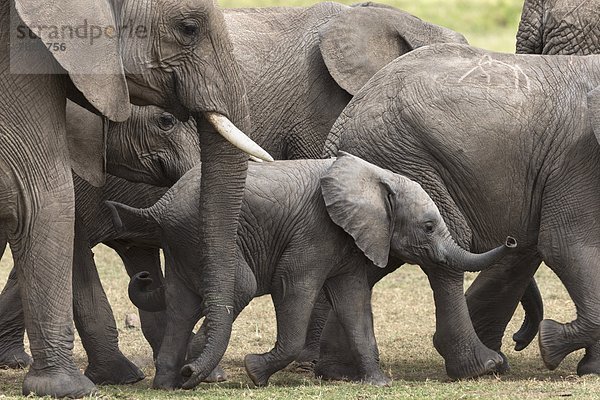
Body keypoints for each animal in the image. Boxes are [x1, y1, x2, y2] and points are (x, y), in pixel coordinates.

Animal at [106, 152, 516, 388]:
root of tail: (161, 205)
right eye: (429, 227)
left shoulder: (348, 241)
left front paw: (378, 384)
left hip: (182, 243)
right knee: (238, 287)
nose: (511, 240)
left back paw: (170, 382)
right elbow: (294, 288)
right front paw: (255, 372)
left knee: (181, 304)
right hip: (199, 236)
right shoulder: (314, 231)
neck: (377, 177)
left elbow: (354, 301)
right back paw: (194, 371)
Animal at [324, 43, 600, 378]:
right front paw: (552, 344)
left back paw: (337, 371)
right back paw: (481, 366)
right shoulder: (577, 158)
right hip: (405, 158)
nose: (520, 340)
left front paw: (591, 367)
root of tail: (341, 123)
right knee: (444, 254)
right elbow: (567, 247)